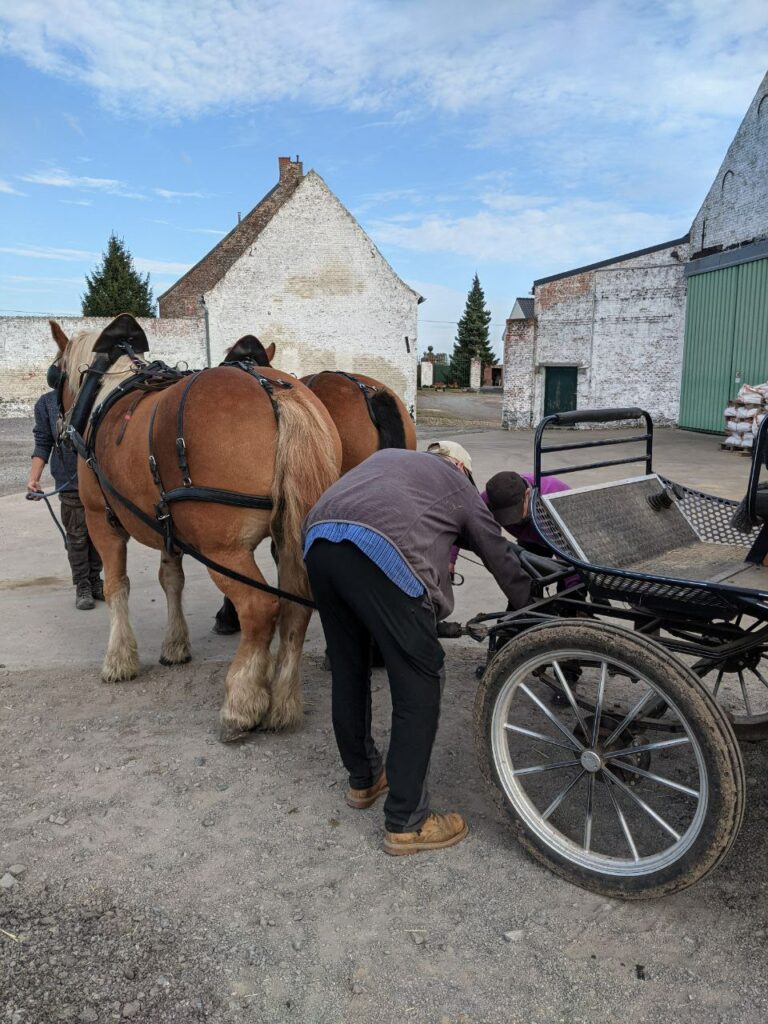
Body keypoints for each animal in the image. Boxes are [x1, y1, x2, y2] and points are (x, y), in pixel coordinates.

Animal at [52, 315, 342, 741]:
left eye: (54, 374)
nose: (59, 429)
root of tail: (273, 390)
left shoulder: (101, 521)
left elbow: (117, 585)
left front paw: (119, 659)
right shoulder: (165, 525)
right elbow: (171, 580)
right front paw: (175, 645)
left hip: (223, 550)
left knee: (260, 608)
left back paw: (241, 703)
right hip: (290, 536)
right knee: (295, 607)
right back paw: (283, 704)